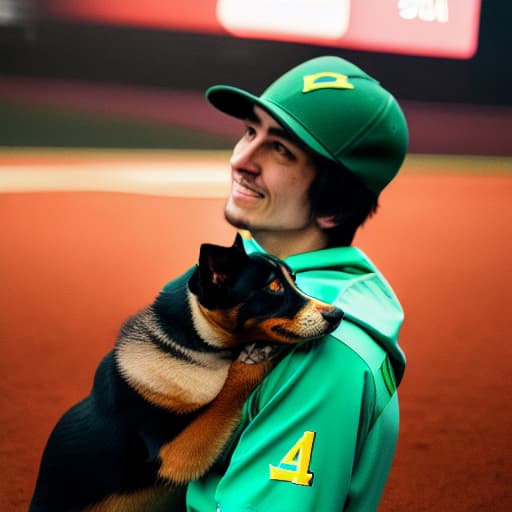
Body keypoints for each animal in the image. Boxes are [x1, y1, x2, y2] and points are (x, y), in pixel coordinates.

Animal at [29, 238, 344, 510]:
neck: (197, 346)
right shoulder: (174, 454)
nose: (337, 314)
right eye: (274, 287)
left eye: (294, 280)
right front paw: (259, 353)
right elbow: (231, 386)